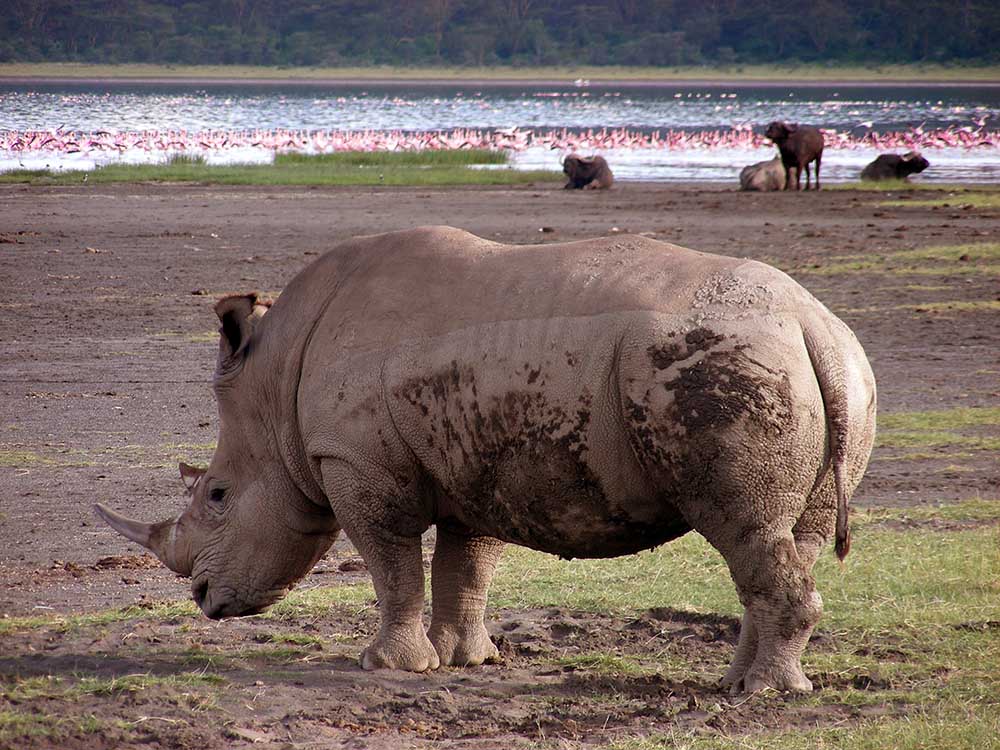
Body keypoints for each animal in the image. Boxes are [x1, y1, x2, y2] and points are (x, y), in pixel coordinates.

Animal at [95, 226, 876, 696]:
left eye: (217, 497)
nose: (203, 598)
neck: (276, 386)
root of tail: (810, 324)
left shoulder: (355, 460)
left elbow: (392, 564)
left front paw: (385, 666)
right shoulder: (475, 458)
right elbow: (465, 565)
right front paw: (461, 661)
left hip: (725, 370)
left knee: (745, 527)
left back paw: (764, 693)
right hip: (839, 373)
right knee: (782, 538)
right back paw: (736, 683)